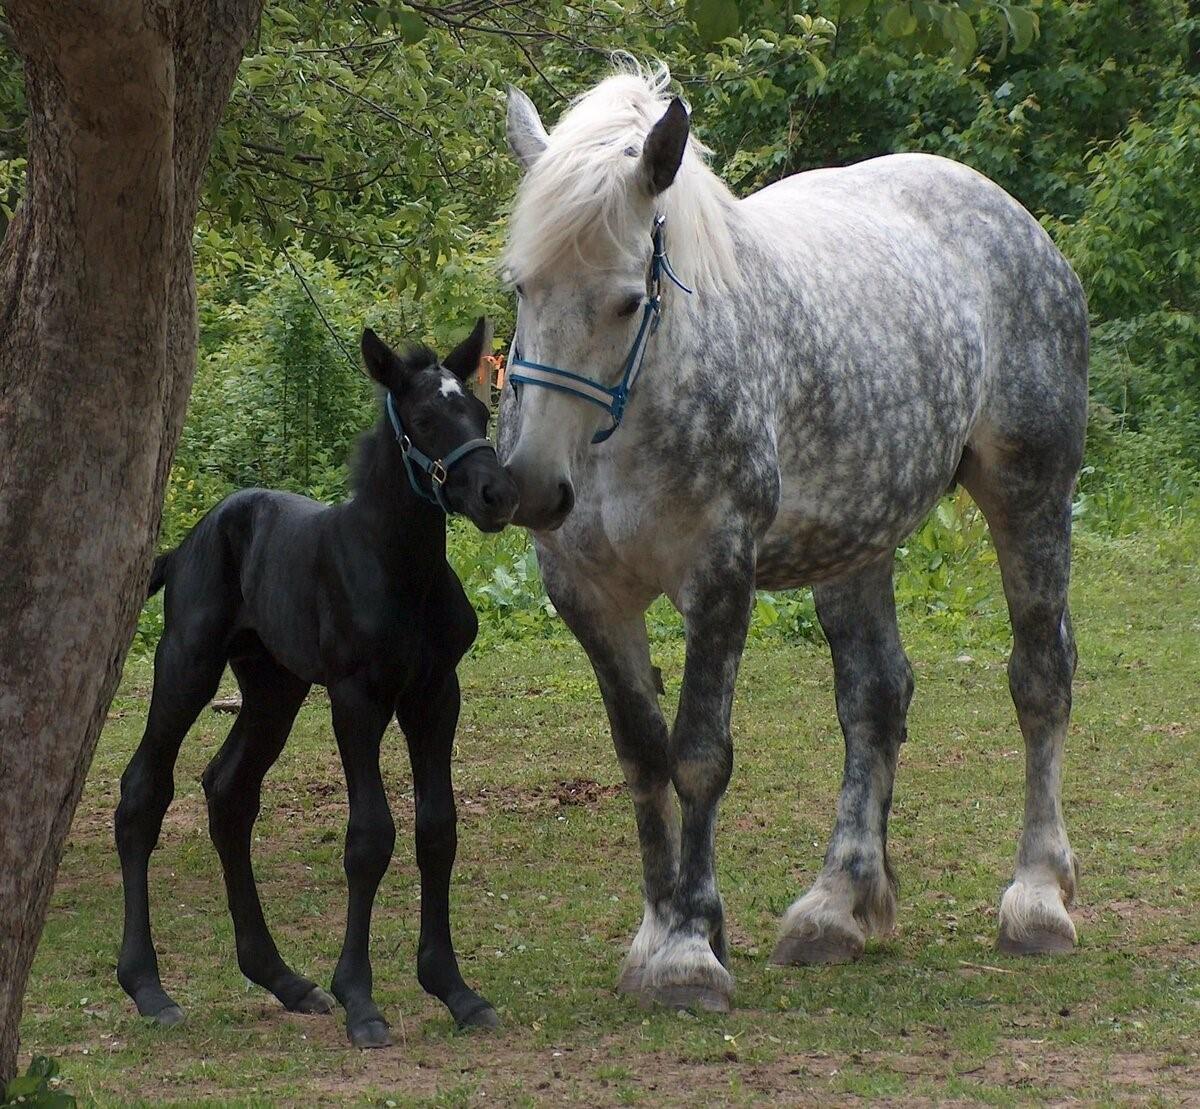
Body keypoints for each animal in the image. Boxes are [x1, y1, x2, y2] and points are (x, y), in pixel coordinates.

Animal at [114, 316, 518, 1041]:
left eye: (477, 411)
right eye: (423, 418)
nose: (497, 495)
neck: (398, 568)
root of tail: (188, 542)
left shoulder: (435, 695)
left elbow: (437, 829)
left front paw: (455, 989)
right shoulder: (356, 697)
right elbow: (370, 836)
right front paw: (360, 999)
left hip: (274, 687)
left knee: (229, 792)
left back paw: (283, 979)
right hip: (186, 662)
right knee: (143, 790)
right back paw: (149, 988)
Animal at [496, 65, 1089, 1008]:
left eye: (627, 301)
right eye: (521, 286)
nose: (531, 485)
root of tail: (1015, 221)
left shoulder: (718, 576)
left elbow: (698, 756)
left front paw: (689, 950)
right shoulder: (590, 596)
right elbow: (641, 757)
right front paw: (658, 929)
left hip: (1030, 496)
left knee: (1040, 679)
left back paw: (1036, 898)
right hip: (857, 539)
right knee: (876, 697)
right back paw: (837, 906)